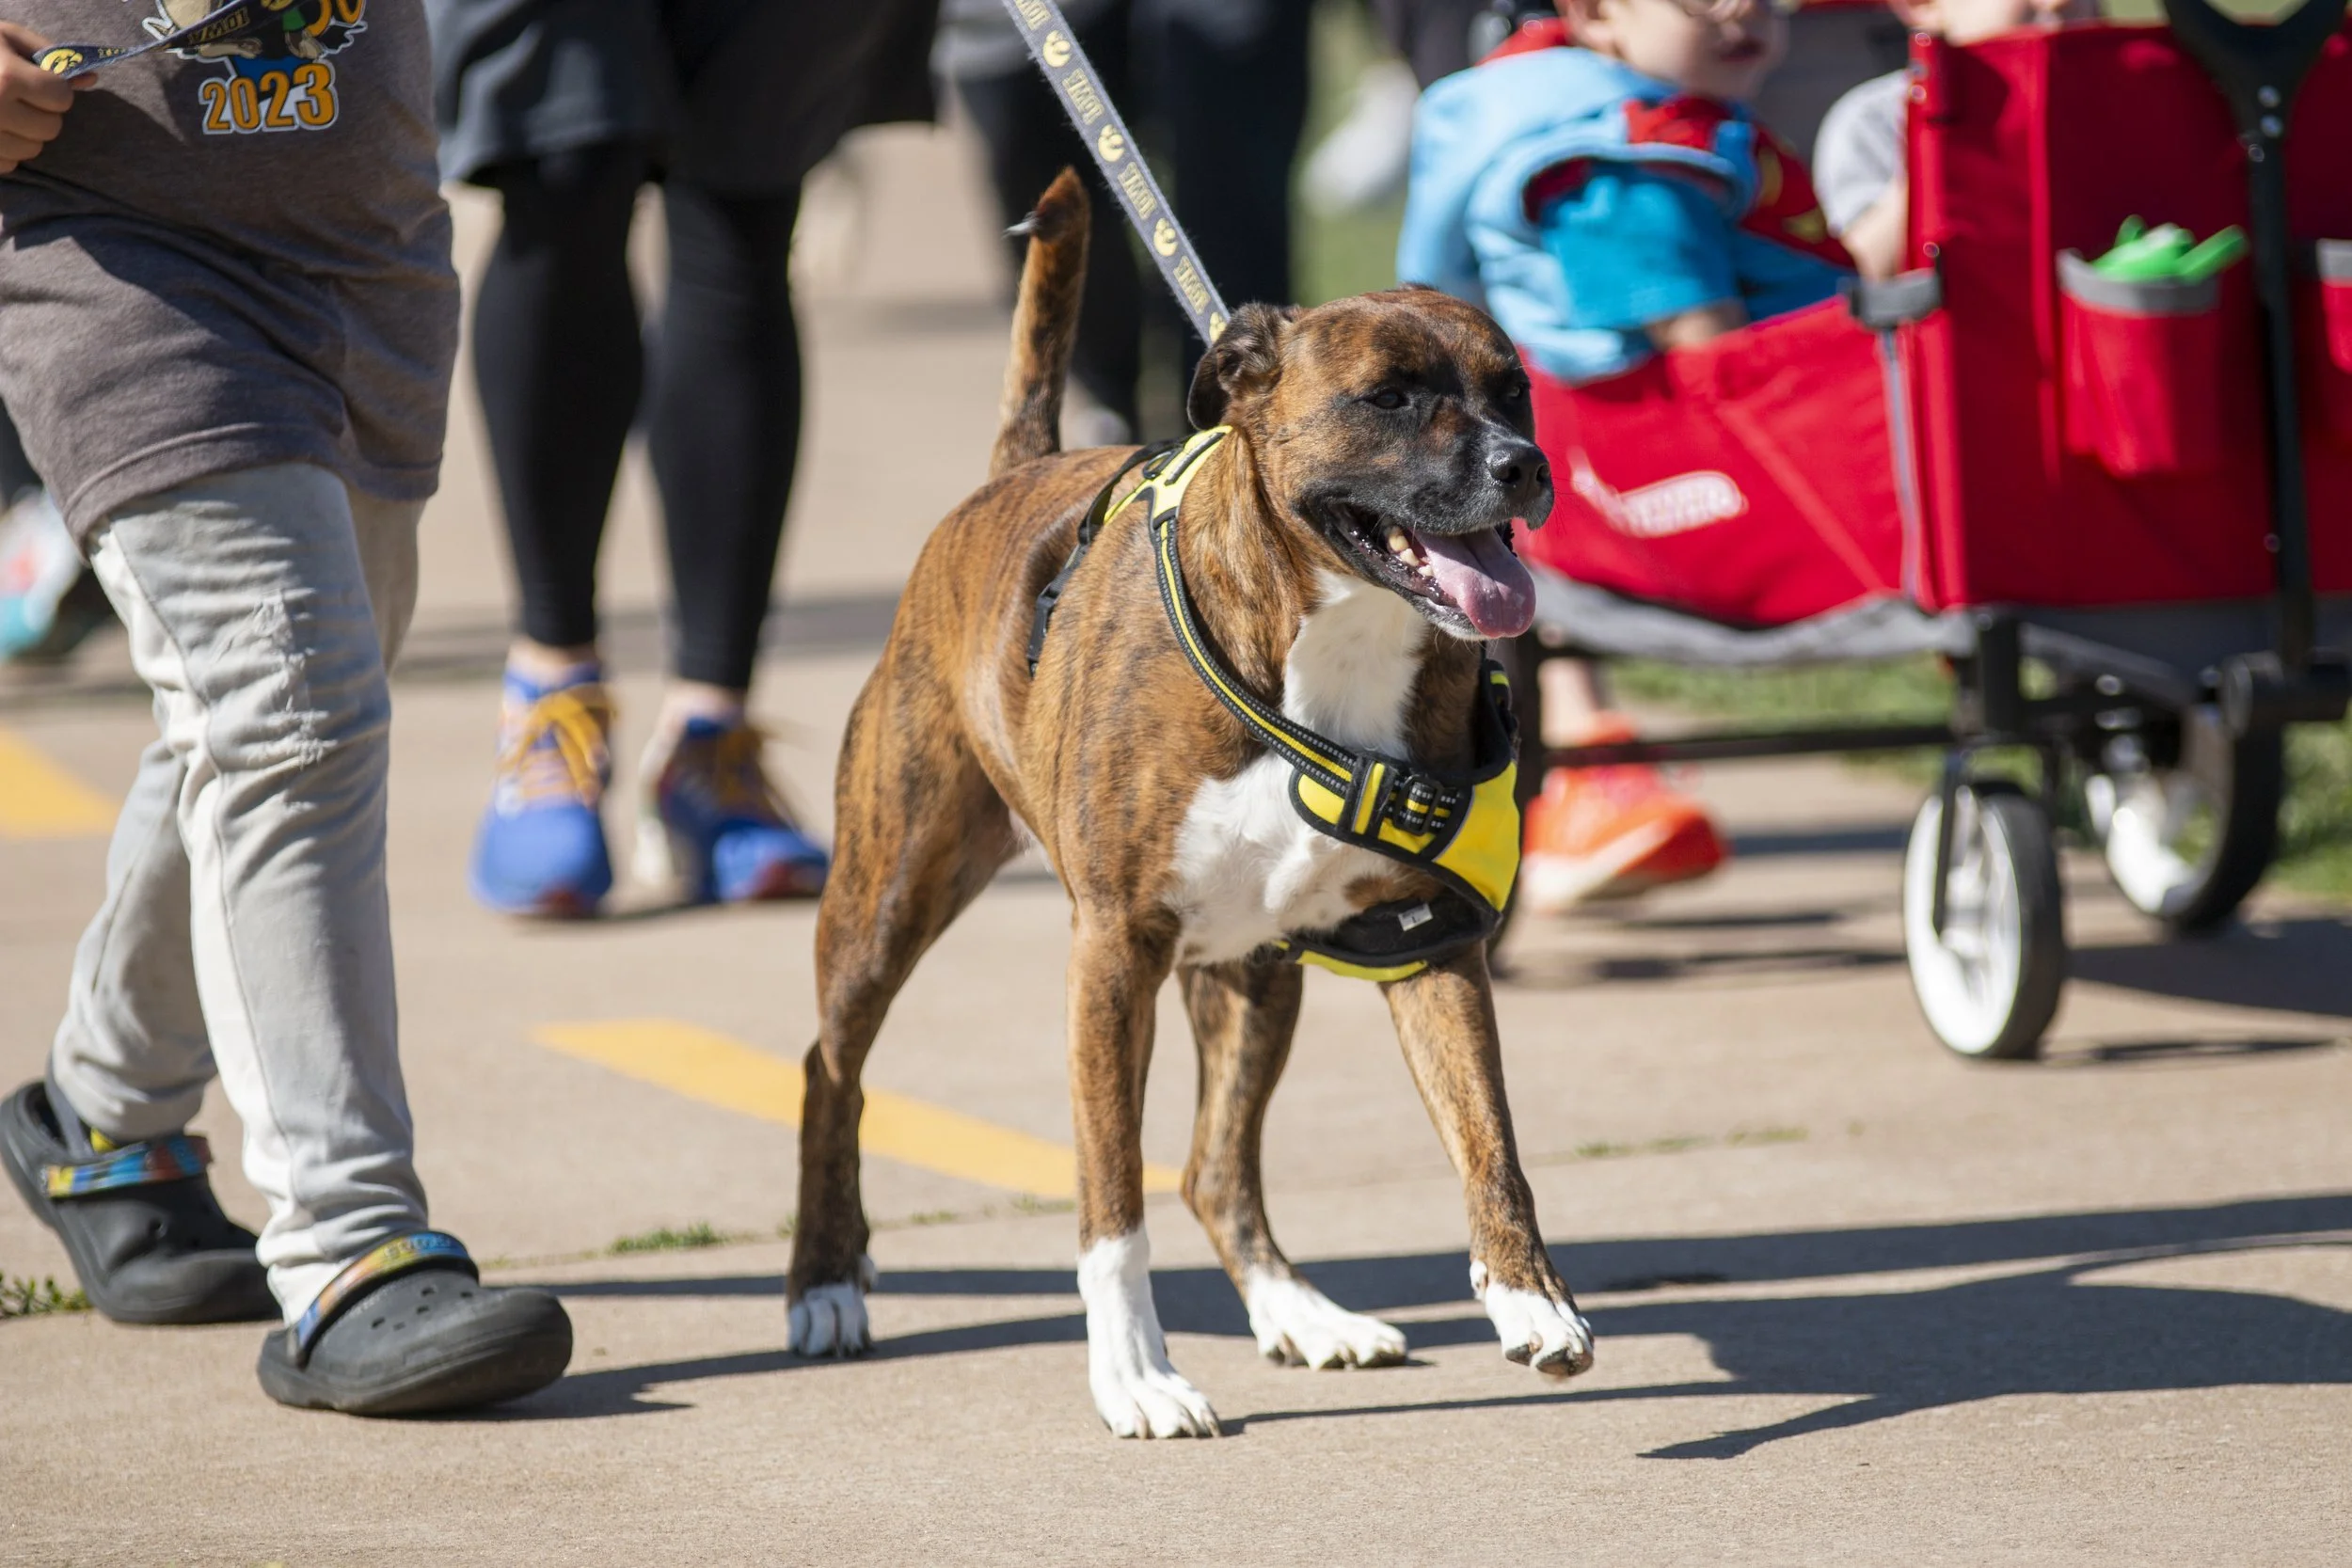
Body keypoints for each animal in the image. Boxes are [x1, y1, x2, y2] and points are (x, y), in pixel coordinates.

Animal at [785, 169, 1593, 1437]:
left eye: (1512, 388)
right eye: (1390, 397)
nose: (1520, 462)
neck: (1328, 638)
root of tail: (1013, 467)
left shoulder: (1428, 945)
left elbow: (1487, 1138)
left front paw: (1526, 1295)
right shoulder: (1113, 958)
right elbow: (1111, 1197)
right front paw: (1134, 1371)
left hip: (1254, 973)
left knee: (1218, 1168)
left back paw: (1298, 1309)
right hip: (886, 898)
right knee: (832, 1072)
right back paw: (823, 1279)